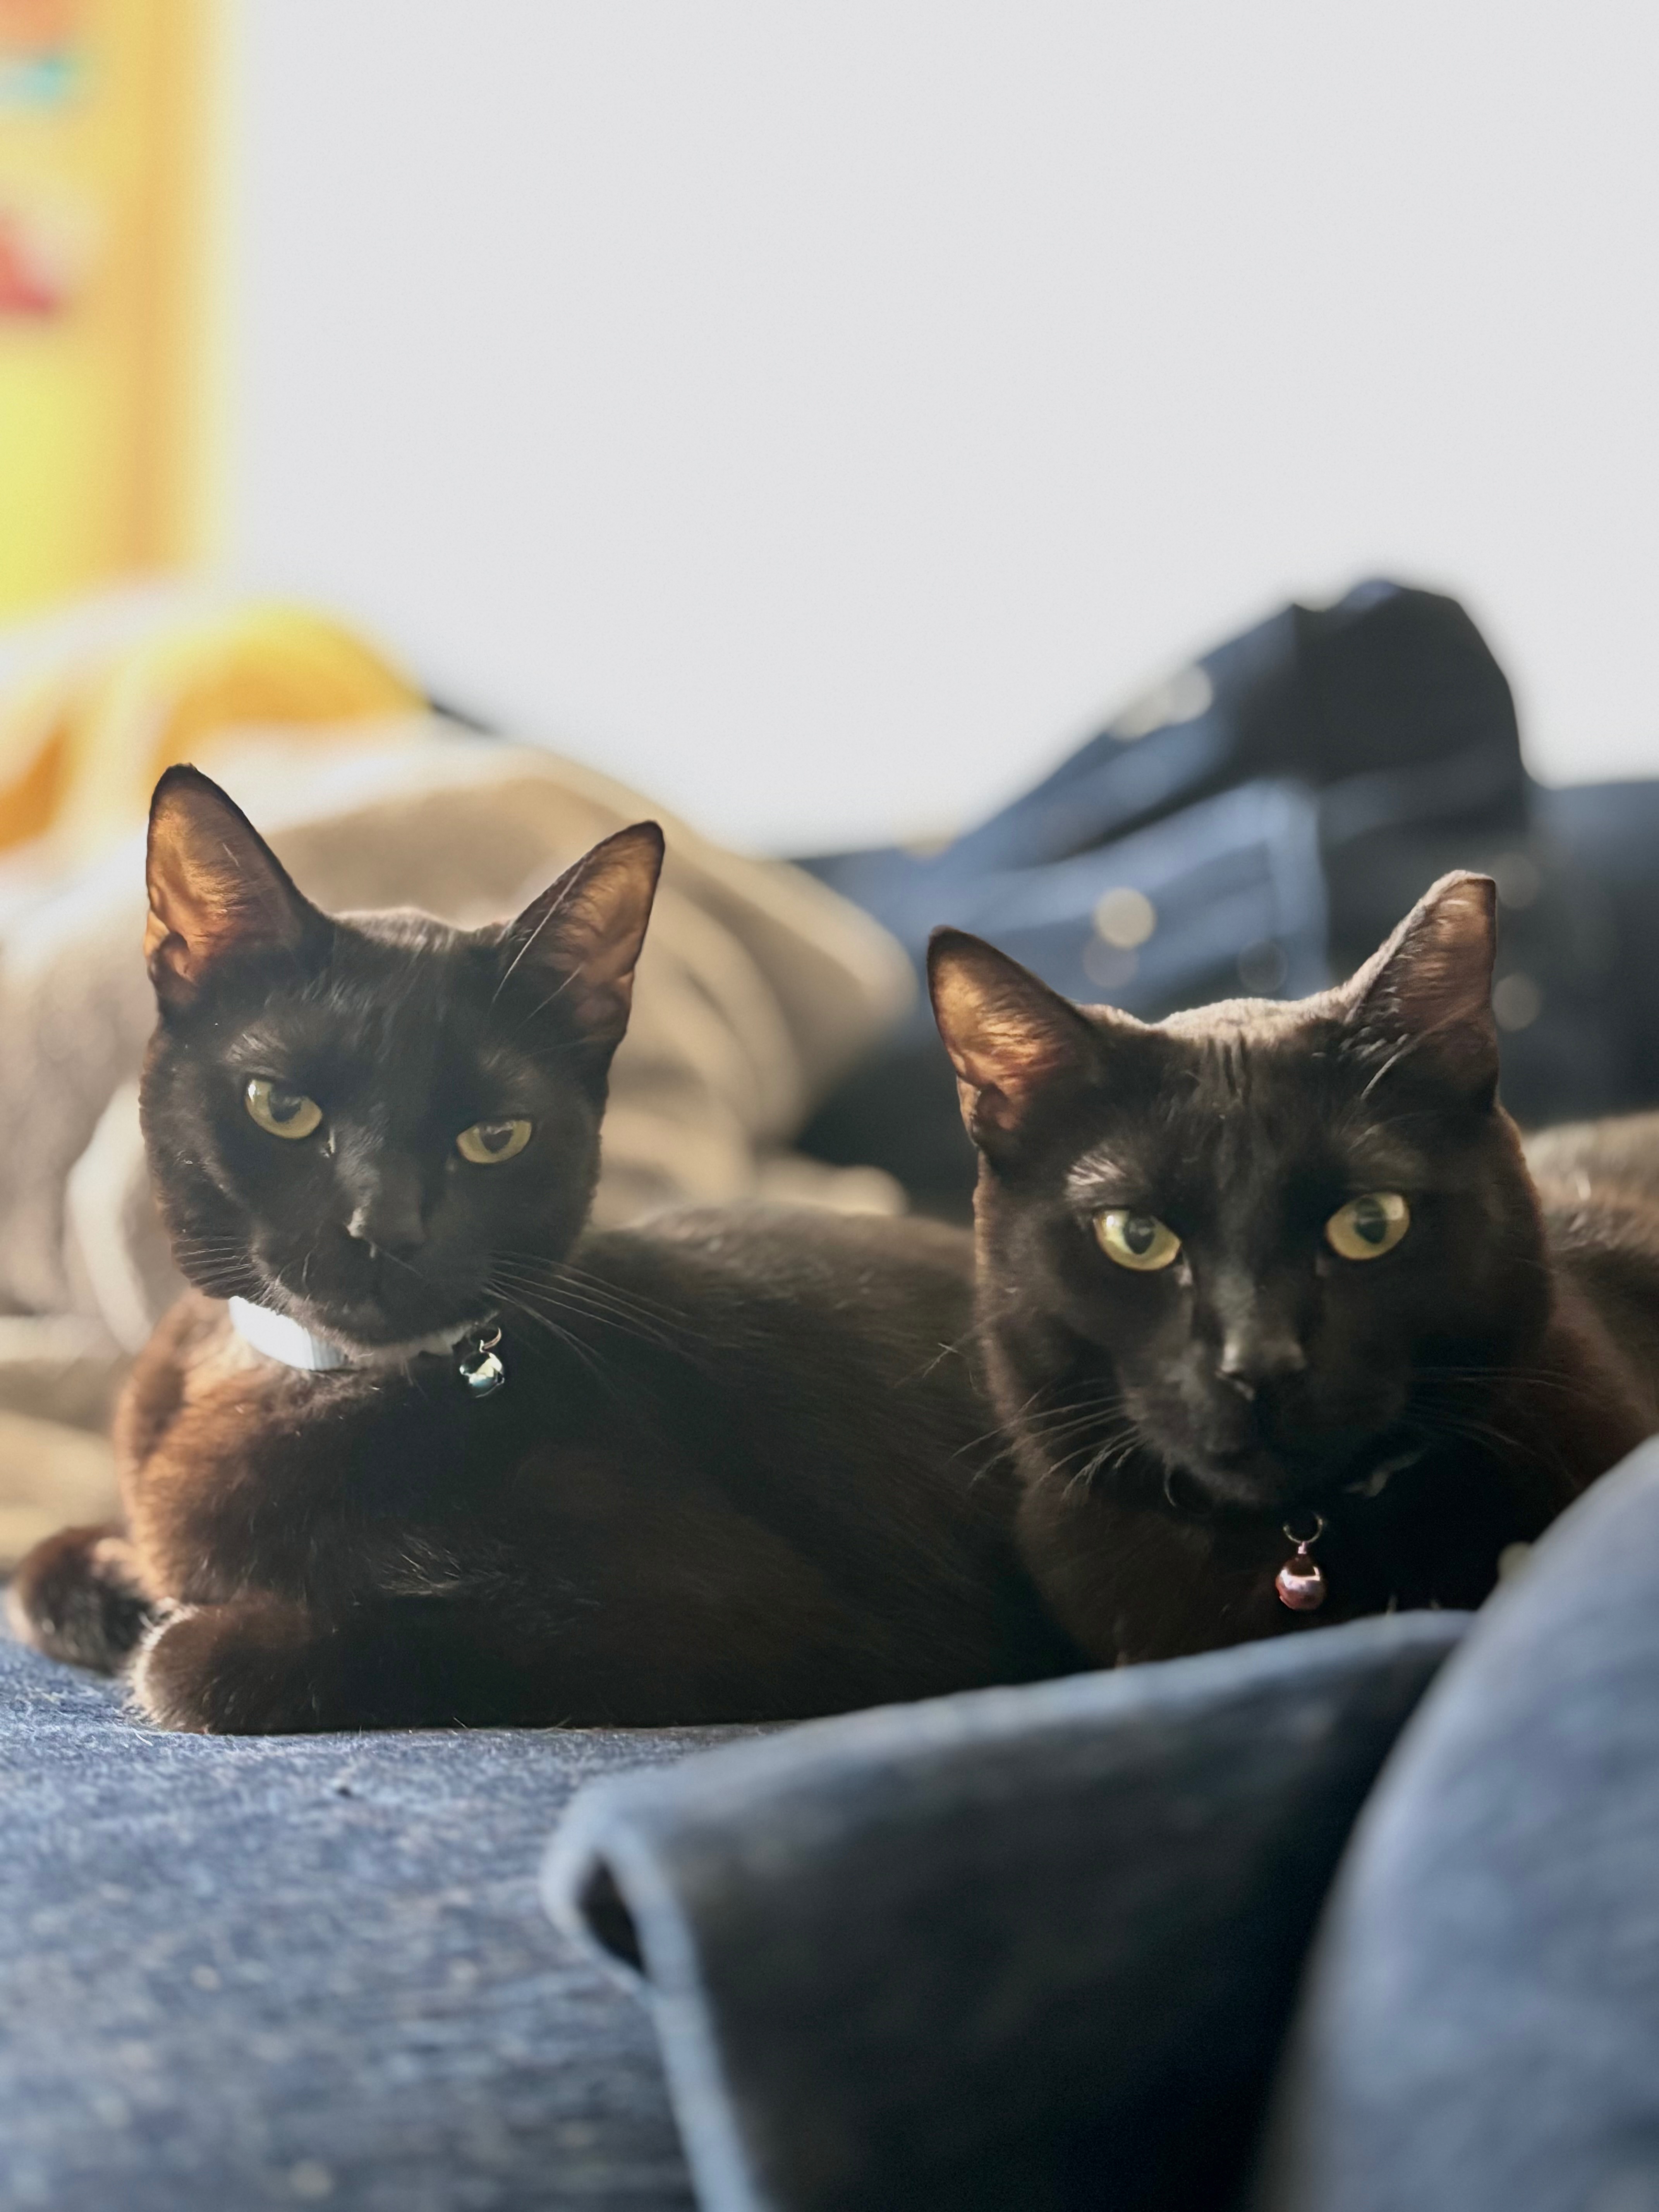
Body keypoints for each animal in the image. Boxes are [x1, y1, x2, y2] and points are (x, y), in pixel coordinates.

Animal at [8, 766, 1074, 1731]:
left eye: (495, 1136)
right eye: (282, 1107)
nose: (384, 1229)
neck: (307, 1376)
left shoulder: (790, 1623)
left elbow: (208, 1660)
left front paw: (186, 1626)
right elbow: (45, 1571)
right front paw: (119, 1579)